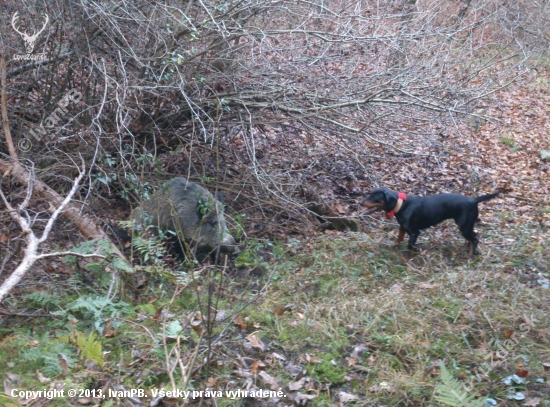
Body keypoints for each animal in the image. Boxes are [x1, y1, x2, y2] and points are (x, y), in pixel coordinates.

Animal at [362, 187, 500, 256]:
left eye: (373, 196)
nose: (360, 202)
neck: (401, 205)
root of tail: (474, 200)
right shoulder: (402, 226)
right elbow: (400, 237)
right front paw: (394, 244)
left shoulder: (414, 233)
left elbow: (409, 247)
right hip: (466, 225)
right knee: (474, 236)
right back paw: (467, 246)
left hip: (464, 226)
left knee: (475, 239)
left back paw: (470, 255)